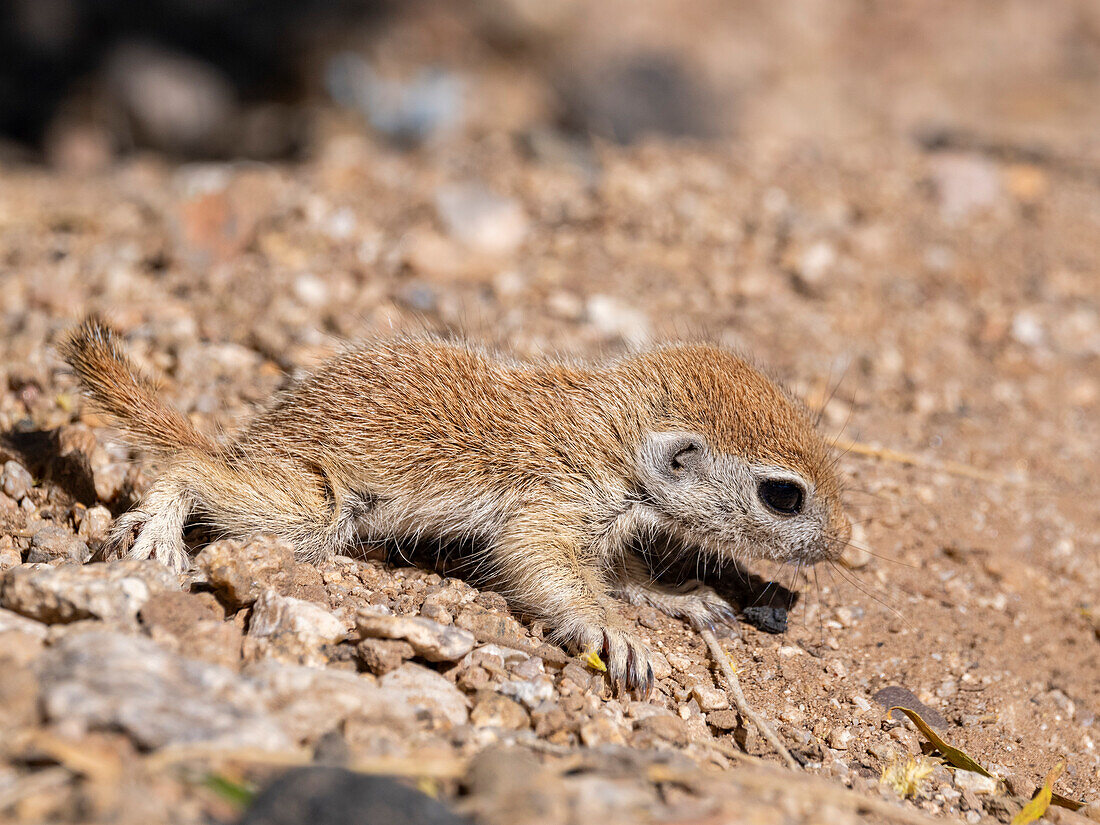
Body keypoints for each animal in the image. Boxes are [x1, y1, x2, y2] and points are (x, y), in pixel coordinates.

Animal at [60, 319, 849, 695]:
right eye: (784, 495)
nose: (841, 544)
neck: (611, 432)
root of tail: (257, 437)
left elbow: (621, 573)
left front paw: (681, 596)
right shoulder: (552, 499)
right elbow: (544, 567)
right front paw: (618, 635)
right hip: (310, 505)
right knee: (195, 469)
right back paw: (158, 527)